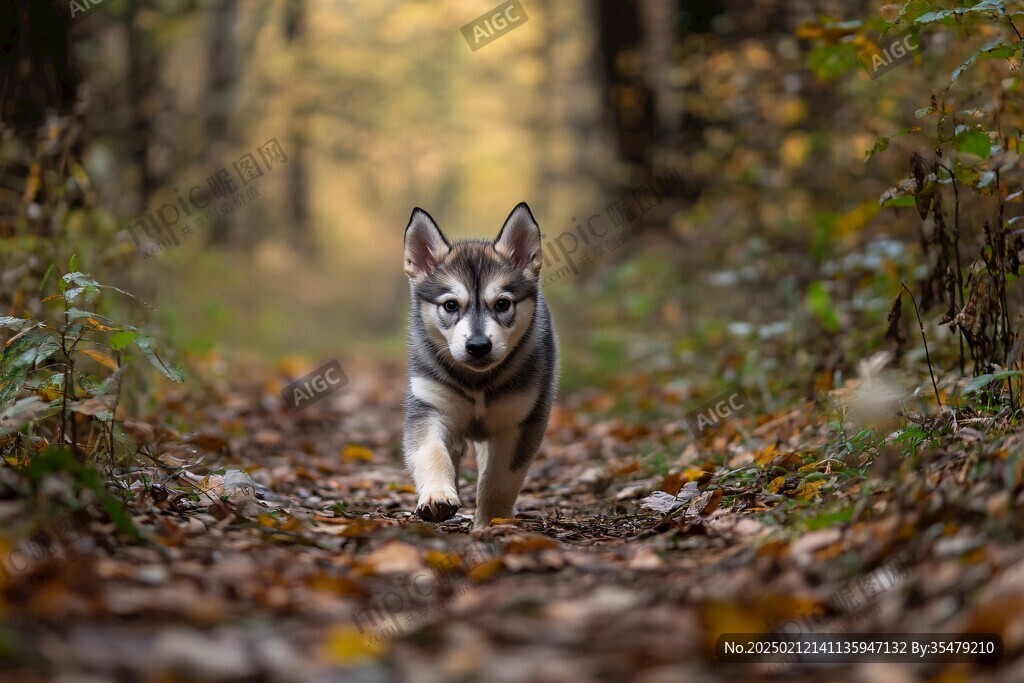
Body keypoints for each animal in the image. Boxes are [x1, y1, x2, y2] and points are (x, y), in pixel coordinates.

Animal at [401, 202, 561, 528]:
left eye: (502, 304)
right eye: (450, 305)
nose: (477, 346)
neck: (478, 383)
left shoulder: (520, 421)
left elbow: (500, 479)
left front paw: (492, 522)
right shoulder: (428, 407)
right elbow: (431, 452)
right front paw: (437, 496)